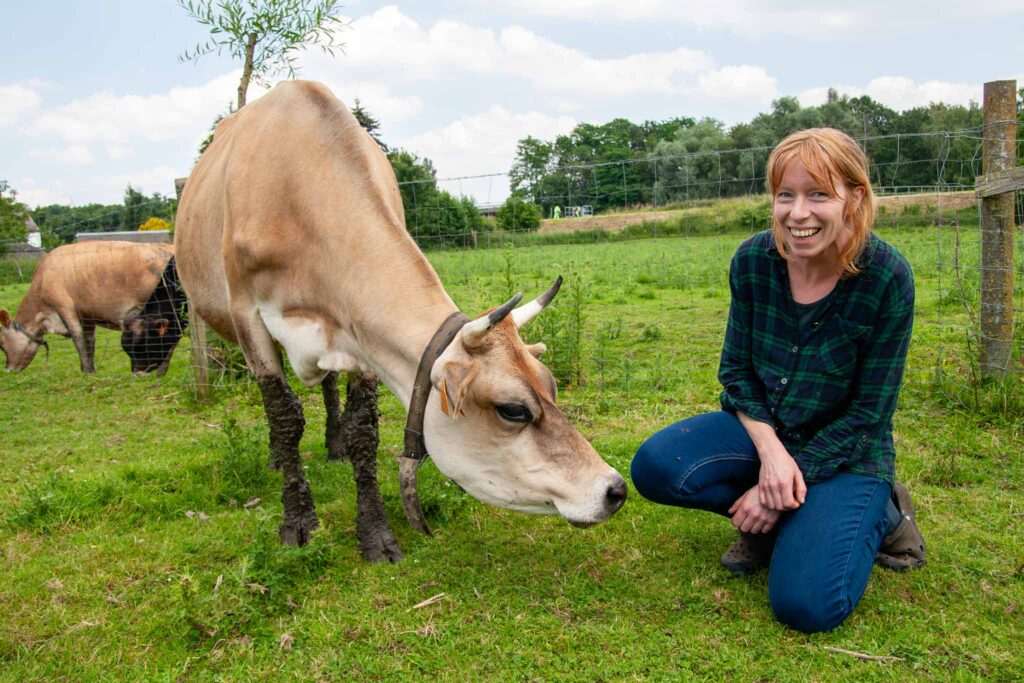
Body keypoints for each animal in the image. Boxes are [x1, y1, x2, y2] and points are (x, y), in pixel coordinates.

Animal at [1, 241, 184, 378]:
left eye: (1, 344)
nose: (8, 369)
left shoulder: (64, 306)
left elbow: (78, 339)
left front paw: (86, 371)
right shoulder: (87, 316)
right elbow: (89, 341)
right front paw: (90, 370)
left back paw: (160, 372)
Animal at [174, 78, 622, 561]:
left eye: (552, 385)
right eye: (513, 410)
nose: (614, 489)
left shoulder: (361, 338)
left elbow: (363, 431)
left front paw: (374, 532)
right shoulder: (248, 315)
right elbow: (284, 416)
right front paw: (297, 522)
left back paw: (333, 444)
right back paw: (278, 457)